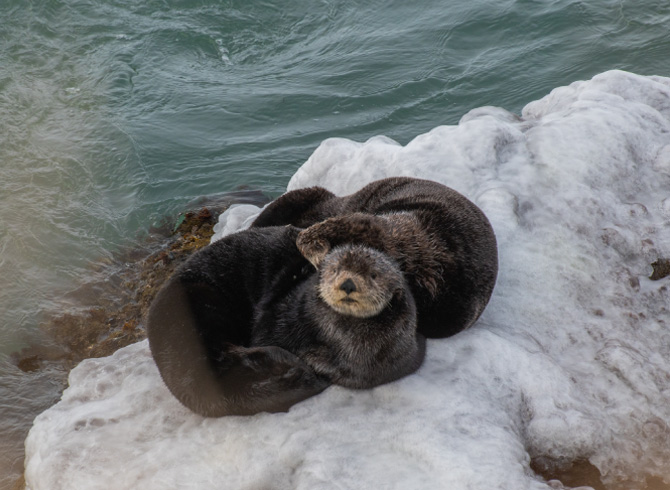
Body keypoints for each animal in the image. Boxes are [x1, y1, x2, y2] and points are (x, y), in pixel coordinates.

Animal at [148, 226, 426, 418]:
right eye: (334, 270)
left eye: (374, 275)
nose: (348, 284)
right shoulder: (282, 315)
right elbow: (266, 331)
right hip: (195, 308)